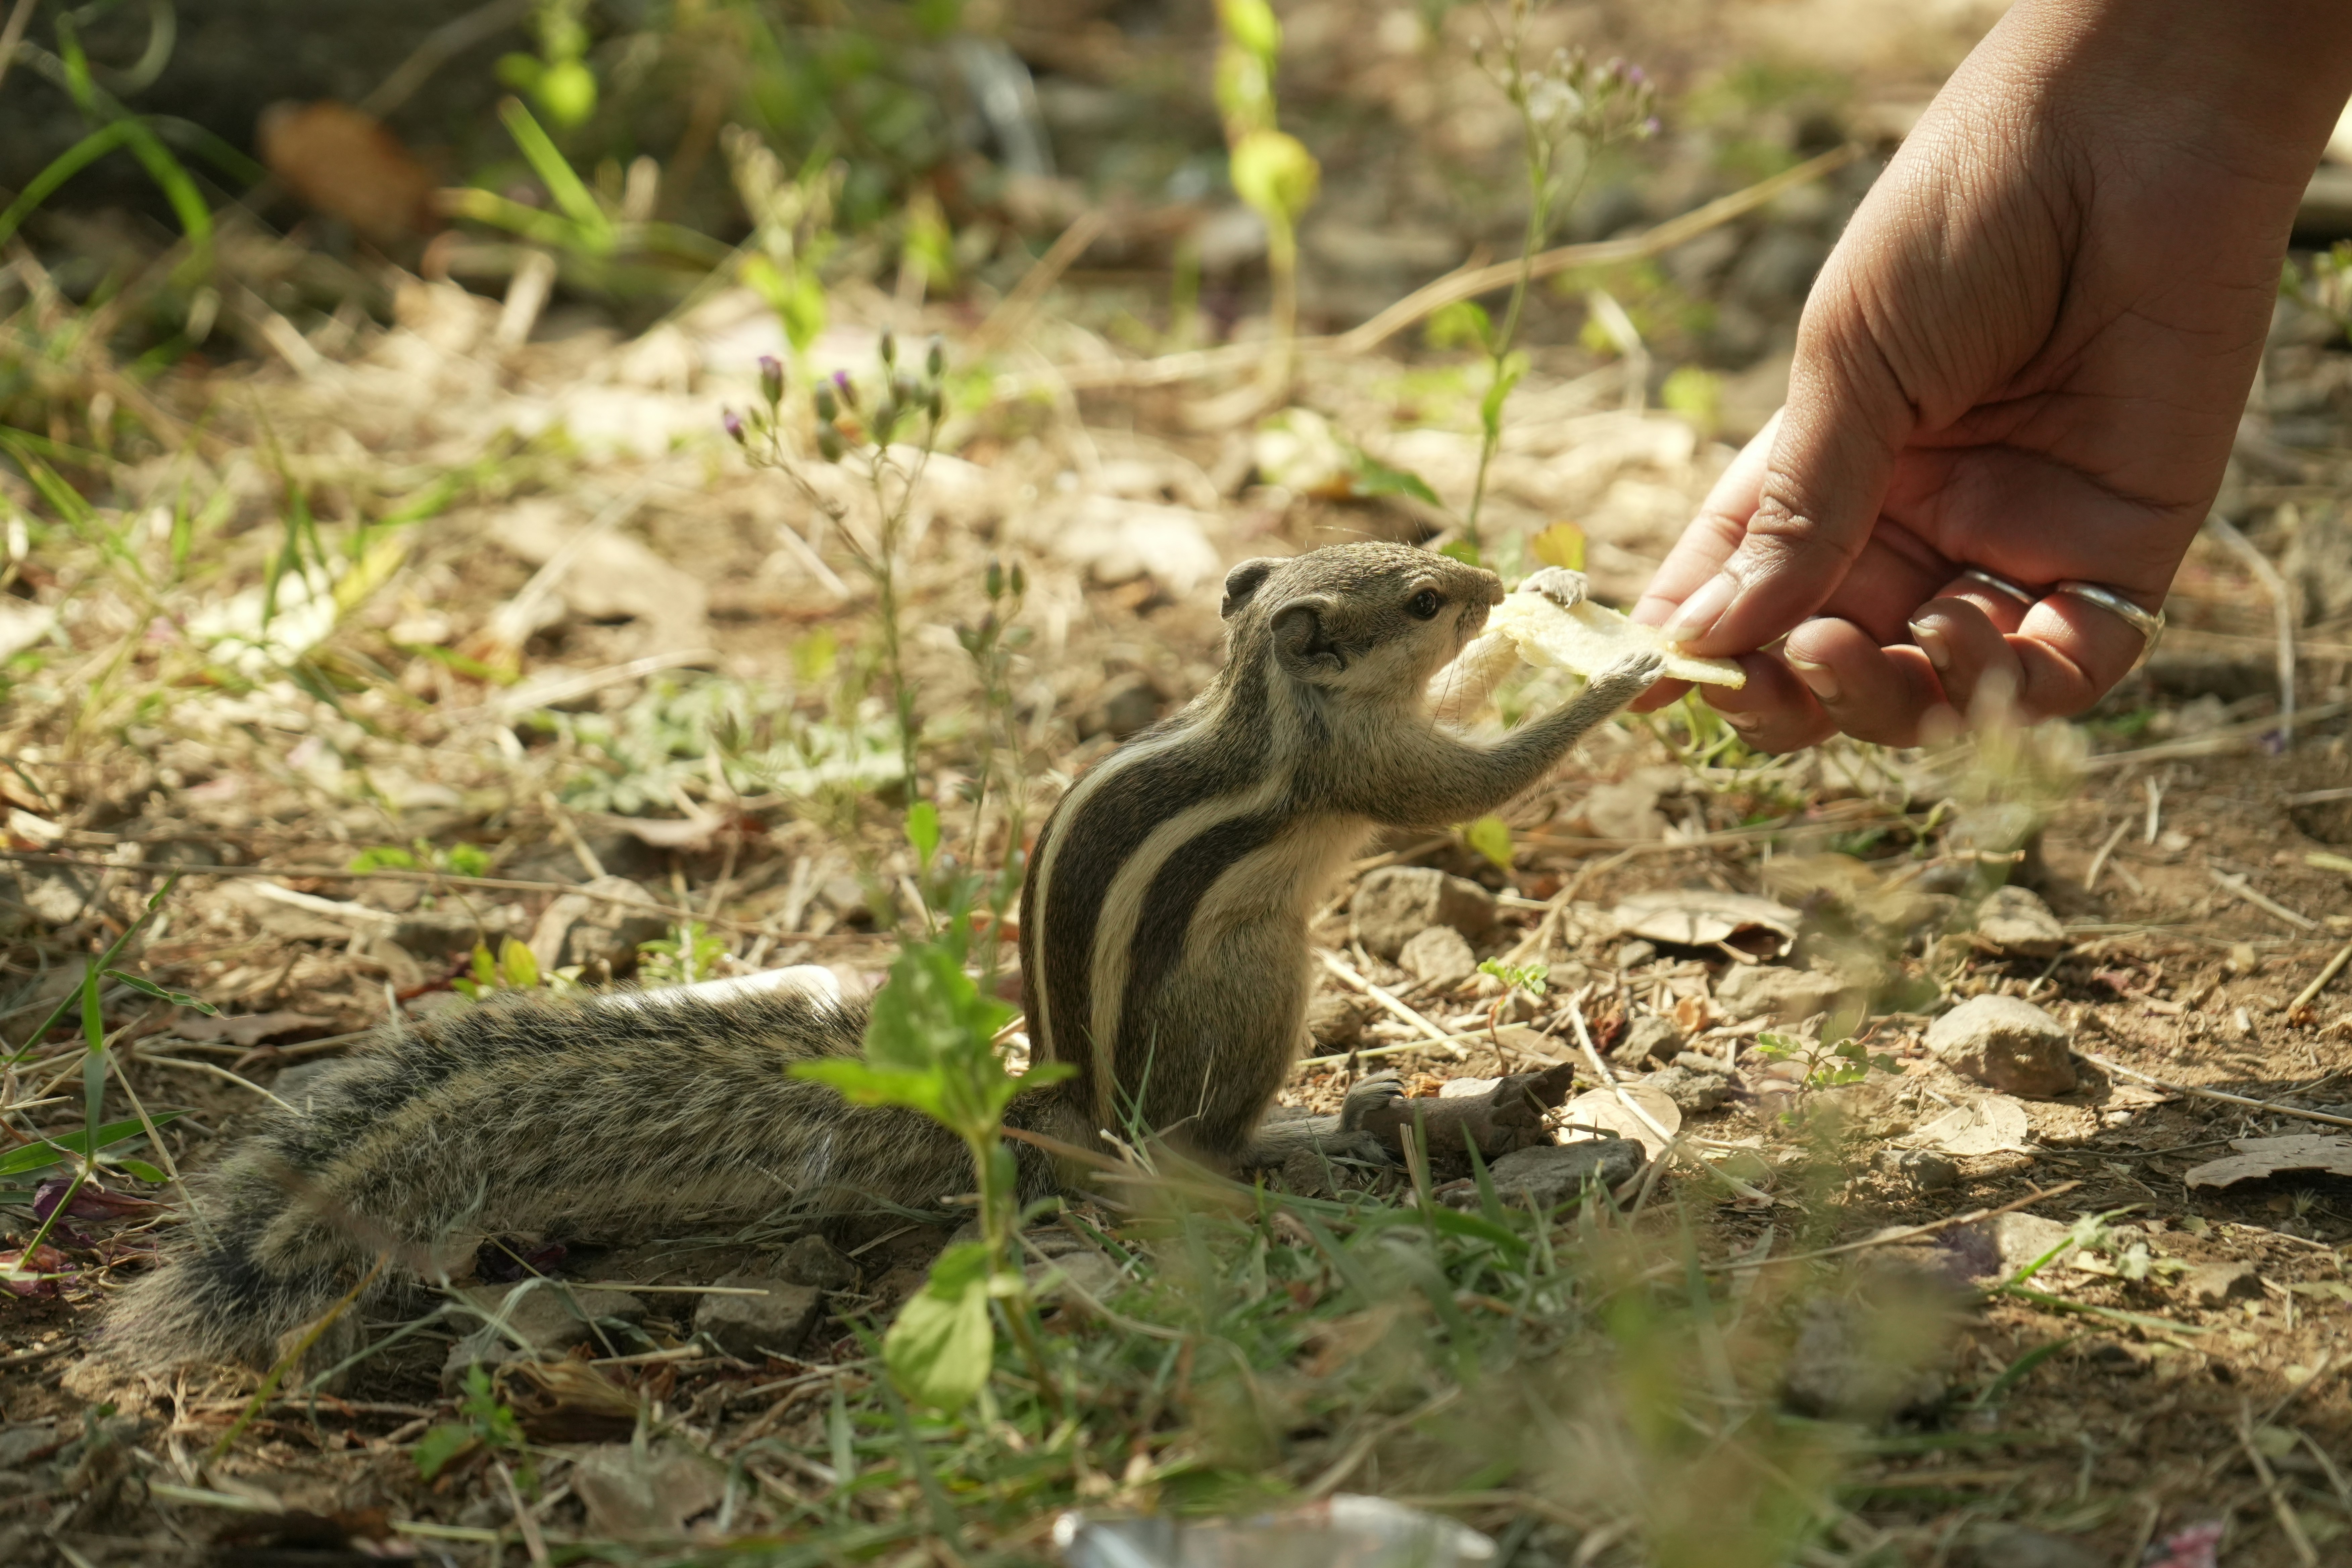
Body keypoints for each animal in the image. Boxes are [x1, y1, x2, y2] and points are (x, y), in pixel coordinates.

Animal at [88, 543, 1659, 1377]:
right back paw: (1290, 1137)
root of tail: (1055, 1105)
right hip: (1261, 977)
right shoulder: (1365, 764)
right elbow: (1472, 781)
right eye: (1416, 601)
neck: (1269, 701)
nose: (1477, 575)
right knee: (1182, 1148)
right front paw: (1626, 664)